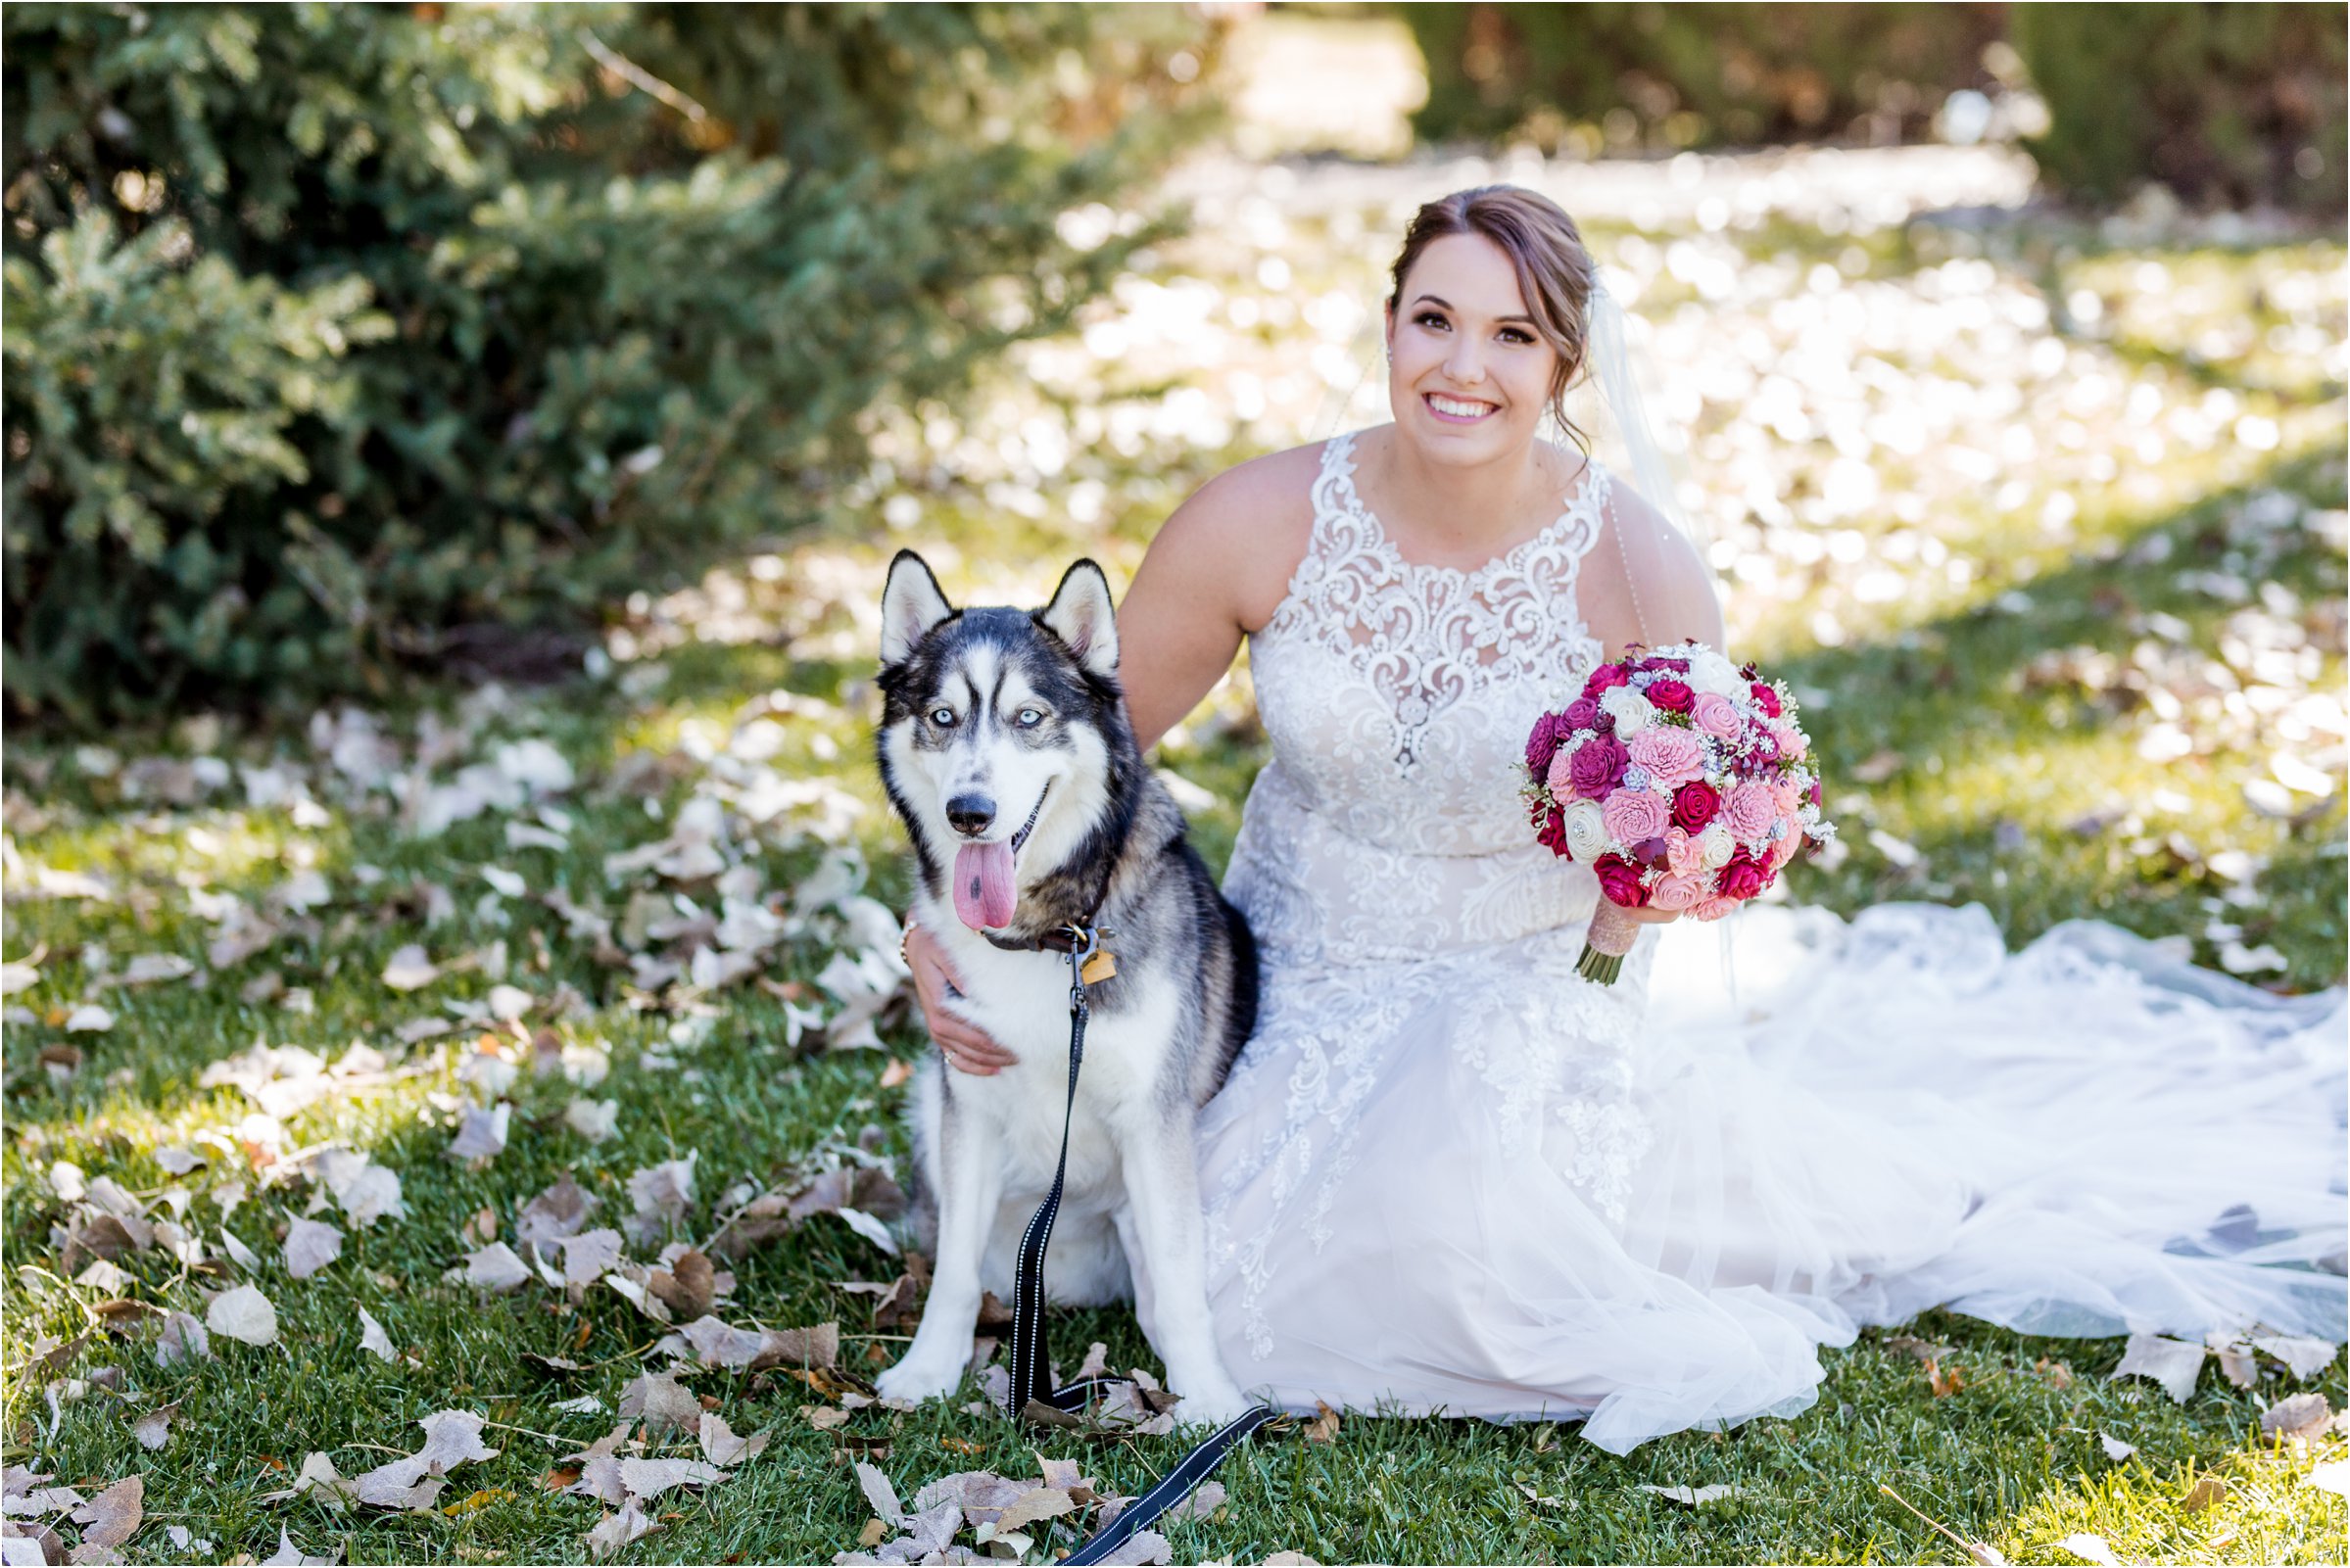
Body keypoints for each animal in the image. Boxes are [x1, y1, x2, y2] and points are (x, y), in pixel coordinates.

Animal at [874, 549, 1259, 1419]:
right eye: (942, 717)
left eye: (1028, 717)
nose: (970, 811)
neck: (1048, 936)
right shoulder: (969, 1104)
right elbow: (952, 1270)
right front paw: (928, 1367)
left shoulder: (1153, 1116)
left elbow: (1180, 1280)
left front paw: (1210, 1397)